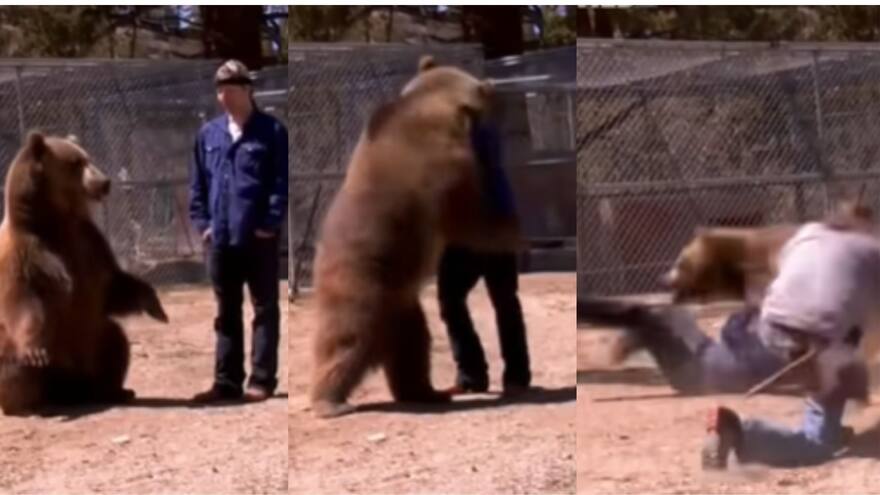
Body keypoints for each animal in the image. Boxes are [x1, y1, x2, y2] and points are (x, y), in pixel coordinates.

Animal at [0, 132, 168, 416]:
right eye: (76, 162)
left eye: (87, 158)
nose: (104, 182)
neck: (56, 219)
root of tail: (70, 388)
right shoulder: (23, 251)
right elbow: (21, 297)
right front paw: (34, 351)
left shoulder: (90, 243)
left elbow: (112, 285)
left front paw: (155, 305)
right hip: (20, 347)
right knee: (13, 365)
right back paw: (29, 404)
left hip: (93, 339)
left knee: (115, 340)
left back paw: (114, 390)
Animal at [309, 56, 522, 418]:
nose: (495, 88)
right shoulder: (445, 168)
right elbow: (472, 217)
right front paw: (511, 231)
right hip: (363, 281)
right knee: (344, 337)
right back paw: (330, 401)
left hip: (403, 307)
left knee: (413, 350)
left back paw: (427, 391)